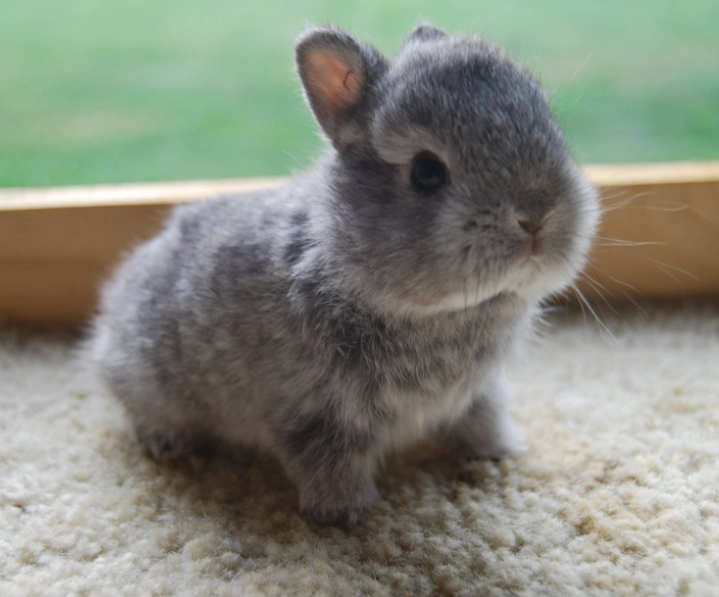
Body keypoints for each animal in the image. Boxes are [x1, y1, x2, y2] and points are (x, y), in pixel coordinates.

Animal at [91, 24, 600, 525]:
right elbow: (329, 460)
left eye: (551, 129)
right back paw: (167, 442)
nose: (536, 217)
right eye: (426, 172)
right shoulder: (315, 415)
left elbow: (482, 419)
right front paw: (345, 513)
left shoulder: (478, 394)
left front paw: (500, 452)